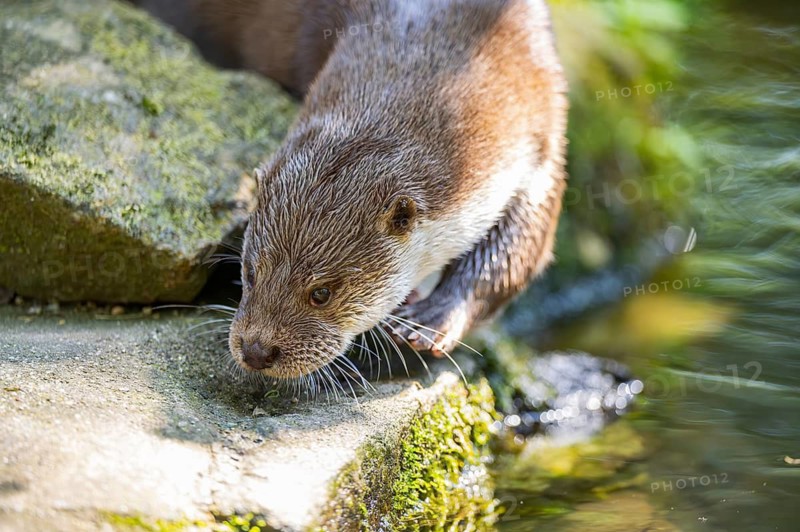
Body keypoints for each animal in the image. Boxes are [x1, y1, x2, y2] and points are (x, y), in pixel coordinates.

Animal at [135, 0, 568, 379]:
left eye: (322, 293)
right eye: (250, 272)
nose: (257, 350)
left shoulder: (541, 123)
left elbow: (518, 247)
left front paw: (429, 320)